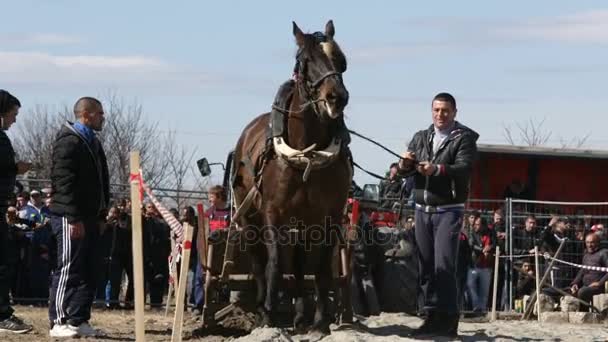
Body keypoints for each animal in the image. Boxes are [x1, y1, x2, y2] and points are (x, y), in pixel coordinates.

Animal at [229, 20, 352, 332]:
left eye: (341, 60)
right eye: (305, 60)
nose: (337, 97)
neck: (308, 153)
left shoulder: (330, 215)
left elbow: (319, 268)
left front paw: (319, 322)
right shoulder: (273, 213)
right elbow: (274, 264)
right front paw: (268, 313)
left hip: (303, 222)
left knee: (298, 264)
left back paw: (299, 314)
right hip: (250, 219)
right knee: (260, 262)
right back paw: (263, 304)